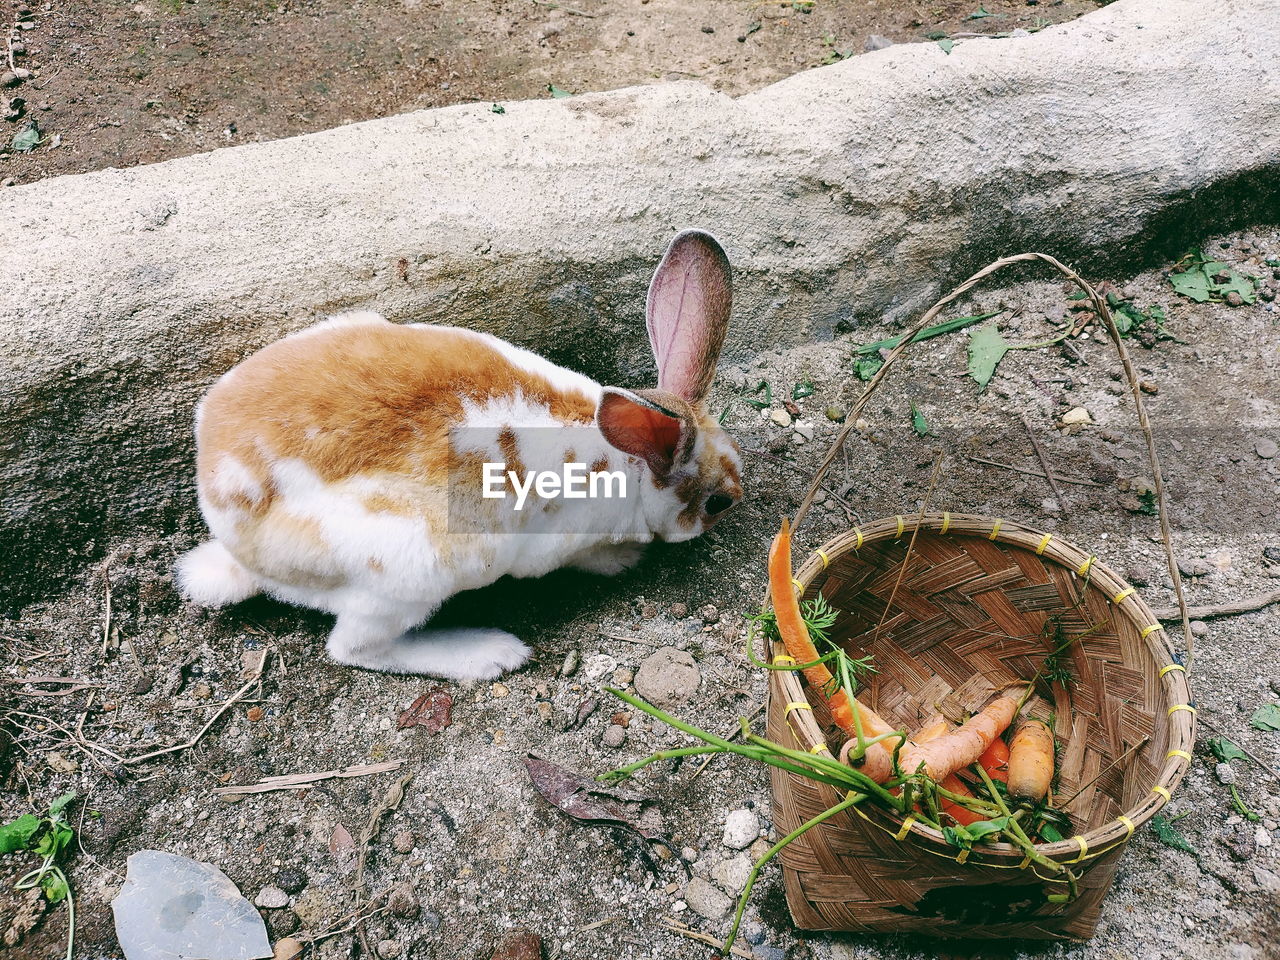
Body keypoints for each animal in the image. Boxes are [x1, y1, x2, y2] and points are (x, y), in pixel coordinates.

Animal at [175, 231, 747, 686]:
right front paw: (624, 559)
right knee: (355, 648)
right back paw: (489, 654)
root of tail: (236, 544)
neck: (628, 464)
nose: (735, 505)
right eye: (717, 503)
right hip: (409, 570)